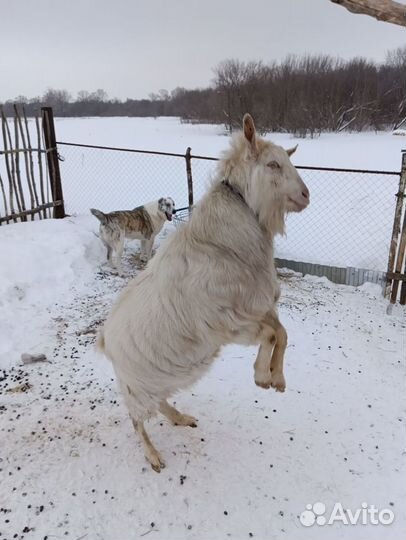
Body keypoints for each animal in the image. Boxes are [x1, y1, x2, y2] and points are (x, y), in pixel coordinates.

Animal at [96, 114, 310, 472]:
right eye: (273, 164)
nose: (306, 195)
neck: (221, 240)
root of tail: (104, 338)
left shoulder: (258, 308)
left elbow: (282, 333)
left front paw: (275, 378)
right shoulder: (229, 322)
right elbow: (272, 334)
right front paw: (262, 376)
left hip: (157, 378)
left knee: (160, 403)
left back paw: (181, 418)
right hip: (134, 384)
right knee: (137, 420)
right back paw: (153, 456)